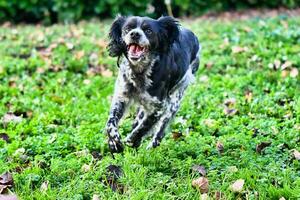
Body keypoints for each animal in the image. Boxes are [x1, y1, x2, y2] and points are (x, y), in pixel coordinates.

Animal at [105, 15, 202, 153]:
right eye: (127, 28)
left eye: (148, 31)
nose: (135, 34)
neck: (139, 72)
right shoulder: (121, 96)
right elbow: (110, 123)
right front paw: (114, 142)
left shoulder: (159, 107)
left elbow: (145, 126)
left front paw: (132, 140)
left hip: (175, 100)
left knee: (160, 130)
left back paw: (151, 145)